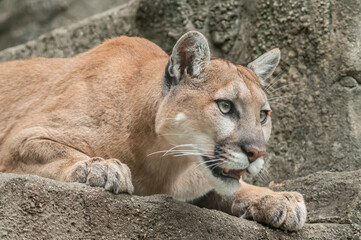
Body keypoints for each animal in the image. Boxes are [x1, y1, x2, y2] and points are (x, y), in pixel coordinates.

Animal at [0, 31, 306, 230]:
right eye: (226, 106)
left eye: (263, 115)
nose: (257, 153)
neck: (163, 160)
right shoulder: (20, 138)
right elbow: (56, 149)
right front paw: (100, 167)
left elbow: (233, 188)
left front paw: (277, 198)